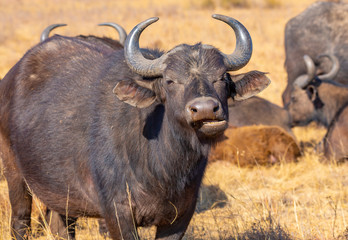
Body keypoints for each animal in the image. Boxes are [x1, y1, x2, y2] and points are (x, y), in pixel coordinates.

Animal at [0, 15, 270, 240]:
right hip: (14, 174)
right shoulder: (117, 214)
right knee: (20, 219)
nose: (204, 109)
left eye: (222, 77)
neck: (164, 167)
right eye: (170, 81)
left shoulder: (180, 216)